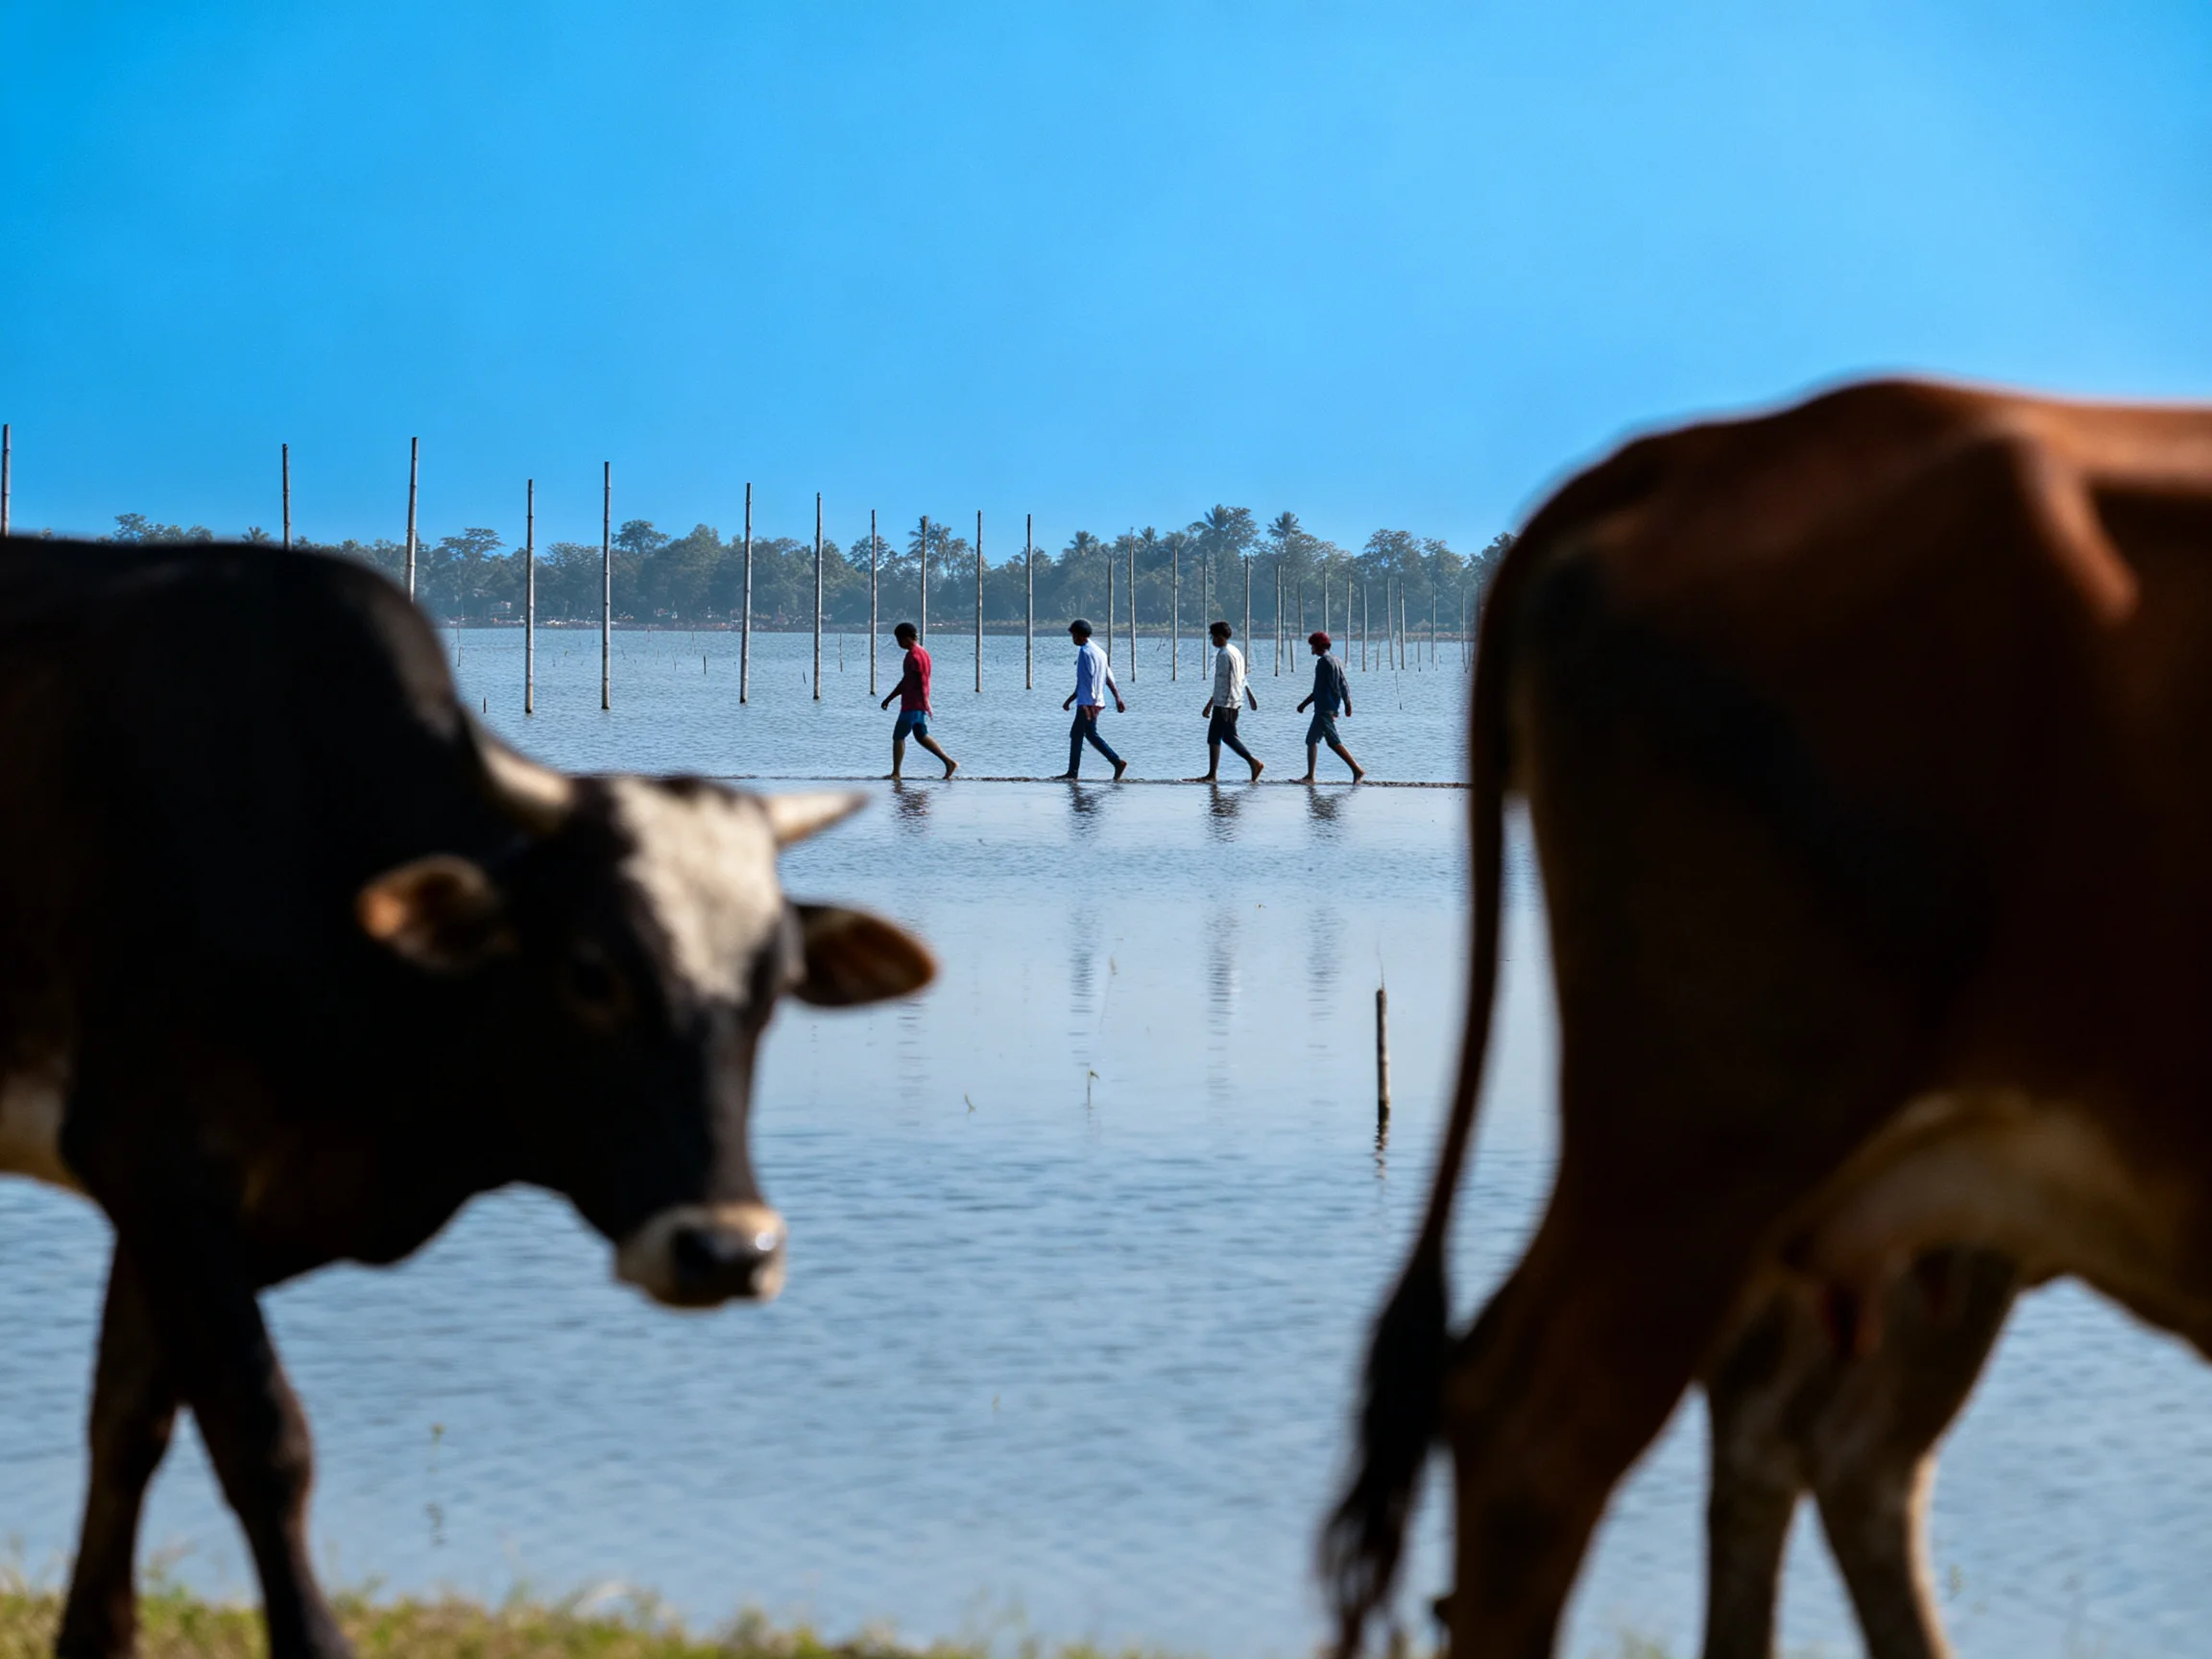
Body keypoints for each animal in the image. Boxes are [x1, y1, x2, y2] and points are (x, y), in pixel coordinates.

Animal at [0, 536, 935, 1659]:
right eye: (588, 971)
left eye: (774, 985)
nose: (724, 1250)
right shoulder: (154, 1159)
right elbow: (260, 1437)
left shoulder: (173, 1203)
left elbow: (127, 1423)